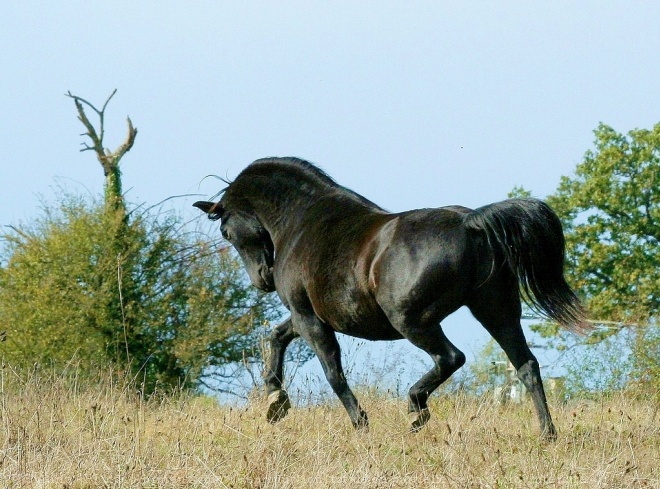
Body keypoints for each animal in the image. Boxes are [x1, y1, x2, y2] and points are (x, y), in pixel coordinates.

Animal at [193, 156, 592, 438]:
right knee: (526, 366)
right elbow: (275, 338)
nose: (263, 279)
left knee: (451, 358)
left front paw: (361, 424)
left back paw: (417, 410)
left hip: (412, 320)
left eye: (226, 231)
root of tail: (471, 223)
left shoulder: (310, 319)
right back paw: (547, 433)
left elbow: (332, 373)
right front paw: (275, 402)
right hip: (497, 311)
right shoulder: (307, 316)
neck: (302, 222)